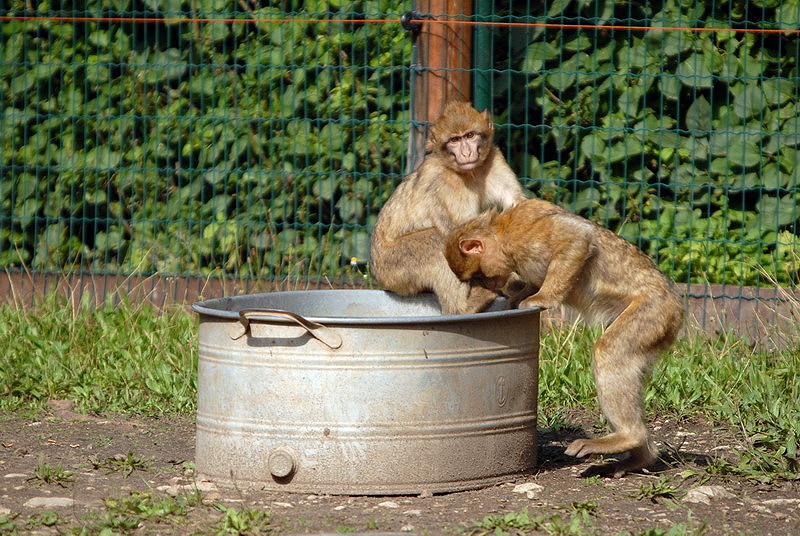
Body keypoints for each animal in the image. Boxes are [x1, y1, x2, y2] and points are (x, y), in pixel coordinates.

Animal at [370, 101, 527, 315]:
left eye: (470, 135)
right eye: (454, 140)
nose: (466, 153)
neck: (469, 172)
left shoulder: (494, 159)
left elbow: (515, 203)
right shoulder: (444, 183)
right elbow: (459, 236)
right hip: (393, 268)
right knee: (438, 244)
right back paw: (464, 308)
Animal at [444, 199, 684, 476]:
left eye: (480, 277)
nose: (490, 286)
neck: (501, 232)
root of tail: (677, 304)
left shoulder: (524, 234)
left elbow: (577, 238)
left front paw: (541, 299)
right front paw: (518, 296)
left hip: (654, 312)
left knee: (609, 352)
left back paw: (628, 436)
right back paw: (639, 456)